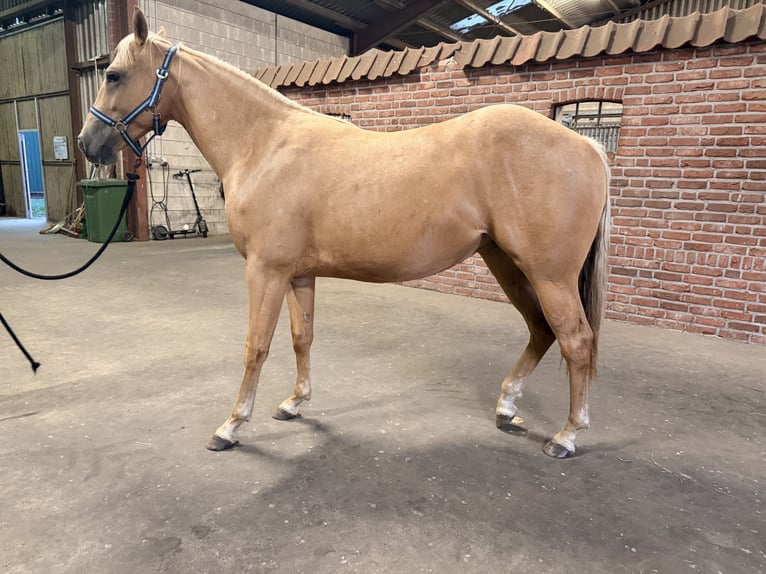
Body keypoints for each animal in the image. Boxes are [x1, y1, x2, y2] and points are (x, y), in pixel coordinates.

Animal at [77, 8, 611, 459]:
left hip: (549, 275)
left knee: (576, 341)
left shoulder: (265, 272)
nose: (87, 144)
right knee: (541, 330)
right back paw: (507, 407)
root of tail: (587, 145)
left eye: (113, 75)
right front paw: (294, 403)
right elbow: (301, 337)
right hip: (506, 263)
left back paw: (567, 435)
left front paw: (231, 425)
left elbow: (256, 346)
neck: (265, 144)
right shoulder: (297, 274)